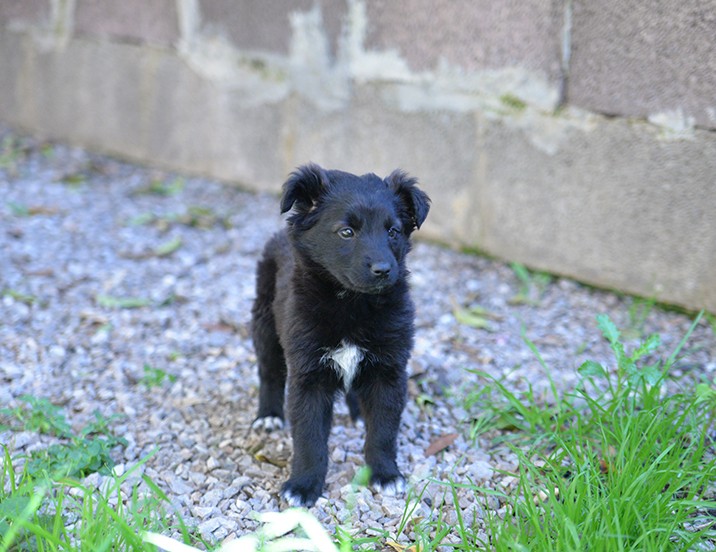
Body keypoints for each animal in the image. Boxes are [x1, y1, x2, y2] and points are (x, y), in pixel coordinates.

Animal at [252, 162, 430, 506]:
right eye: (346, 232)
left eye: (393, 232)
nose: (383, 270)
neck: (353, 305)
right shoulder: (308, 375)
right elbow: (309, 437)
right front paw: (304, 485)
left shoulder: (389, 369)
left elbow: (384, 431)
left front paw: (385, 474)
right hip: (264, 325)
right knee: (269, 373)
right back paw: (268, 415)